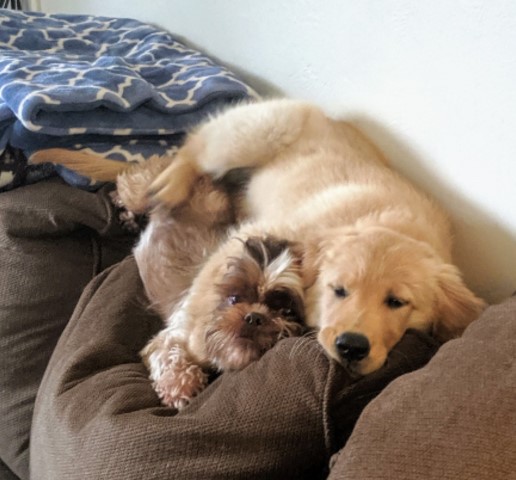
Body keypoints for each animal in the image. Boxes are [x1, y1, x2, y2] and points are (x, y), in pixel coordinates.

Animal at [31, 99, 484, 404]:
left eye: (398, 303)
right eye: (338, 290)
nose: (352, 347)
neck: (390, 223)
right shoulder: (258, 234)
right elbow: (201, 298)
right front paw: (192, 343)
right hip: (254, 132)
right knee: (189, 151)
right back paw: (167, 185)